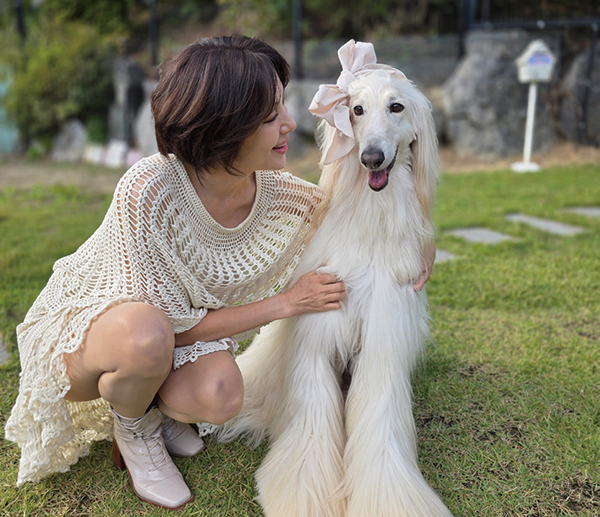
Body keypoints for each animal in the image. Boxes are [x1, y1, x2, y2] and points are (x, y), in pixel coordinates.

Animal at [216, 40, 453, 517]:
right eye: (356, 110)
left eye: (396, 106)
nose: (371, 157)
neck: (370, 221)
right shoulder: (317, 337)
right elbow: (311, 421)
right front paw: (303, 494)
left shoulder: (382, 344)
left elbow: (379, 419)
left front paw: (389, 498)